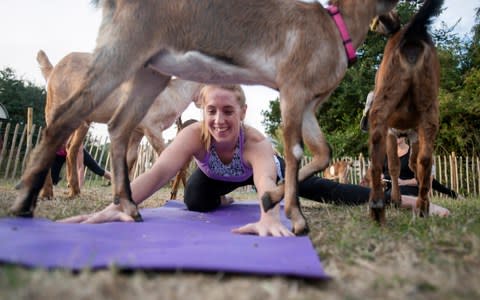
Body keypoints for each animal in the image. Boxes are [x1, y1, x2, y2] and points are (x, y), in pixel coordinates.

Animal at [36, 50, 202, 198]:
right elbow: (166, 154)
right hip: (55, 107)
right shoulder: (151, 127)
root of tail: (53, 70)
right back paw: (47, 193)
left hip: (81, 121)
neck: (172, 95)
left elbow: (130, 158)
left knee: (72, 148)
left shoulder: (137, 130)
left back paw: (74, 191)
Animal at [368, 0, 442, 223]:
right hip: (429, 108)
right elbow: (412, 163)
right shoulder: (414, 132)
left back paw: (378, 206)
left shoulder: (393, 131)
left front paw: (396, 198)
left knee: (377, 153)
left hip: (383, 104)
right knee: (426, 158)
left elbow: (395, 165)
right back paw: (422, 207)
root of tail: (413, 32)